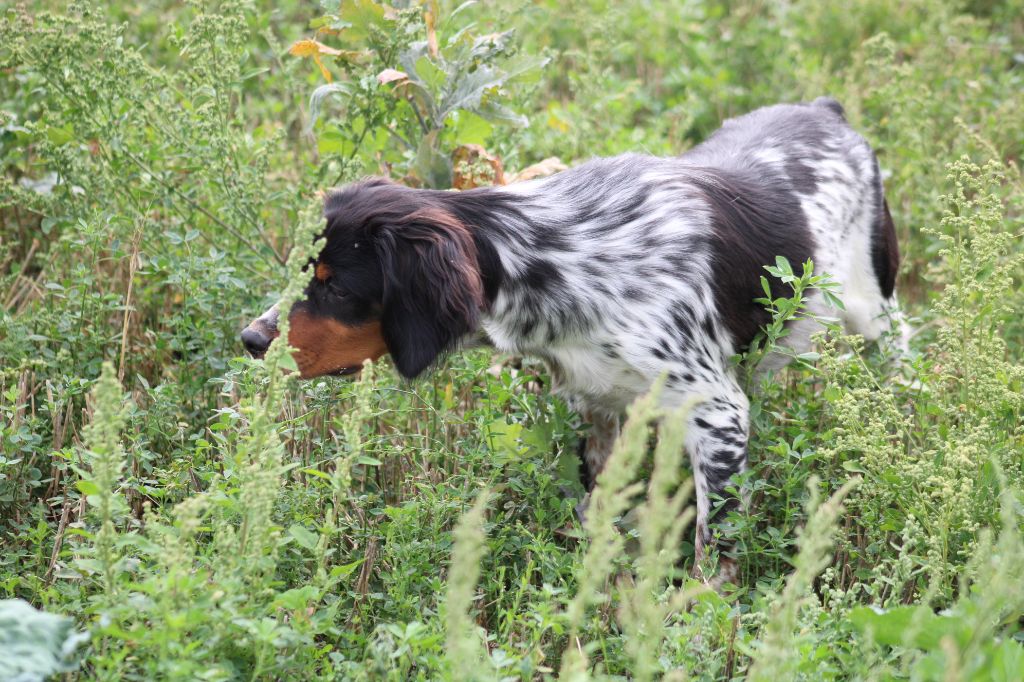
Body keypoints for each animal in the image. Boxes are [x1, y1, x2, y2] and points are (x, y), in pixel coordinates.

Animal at [243, 98, 901, 581]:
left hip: (876, 310)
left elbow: (714, 549)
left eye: (334, 285)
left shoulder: (717, 413)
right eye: (304, 269)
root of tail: (825, 110)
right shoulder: (595, 402)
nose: (250, 339)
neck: (549, 253)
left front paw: (694, 624)